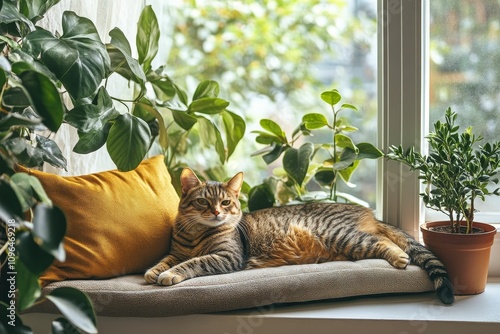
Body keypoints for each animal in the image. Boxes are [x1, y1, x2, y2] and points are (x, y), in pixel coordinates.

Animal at [145, 168, 454, 304]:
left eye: (226, 203)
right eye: (202, 202)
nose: (217, 213)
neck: (195, 233)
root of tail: (368, 213)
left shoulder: (225, 256)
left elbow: (192, 263)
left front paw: (170, 274)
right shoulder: (176, 251)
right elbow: (166, 260)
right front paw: (154, 271)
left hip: (343, 236)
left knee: (384, 241)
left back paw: (400, 257)